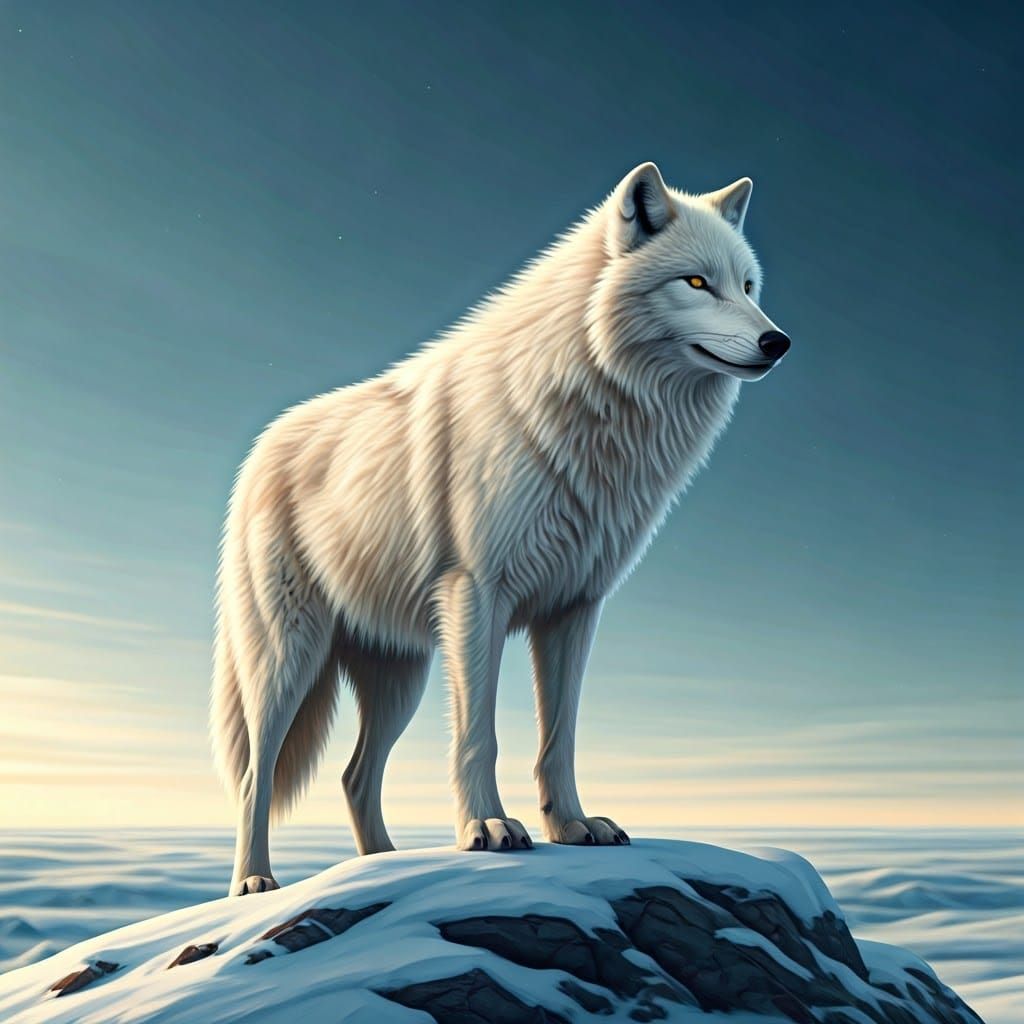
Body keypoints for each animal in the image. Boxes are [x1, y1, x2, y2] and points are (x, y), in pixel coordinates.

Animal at [211, 162, 791, 895]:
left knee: (353, 775)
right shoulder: (476, 595)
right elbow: (479, 733)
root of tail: (261, 448)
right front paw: (486, 828)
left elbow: (559, 736)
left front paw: (572, 825)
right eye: (695, 283)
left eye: (747, 287)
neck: (593, 408)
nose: (779, 341)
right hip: (288, 660)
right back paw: (254, 882)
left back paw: (382, 865)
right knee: (254, 774)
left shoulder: (575, 608)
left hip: (401, 677)